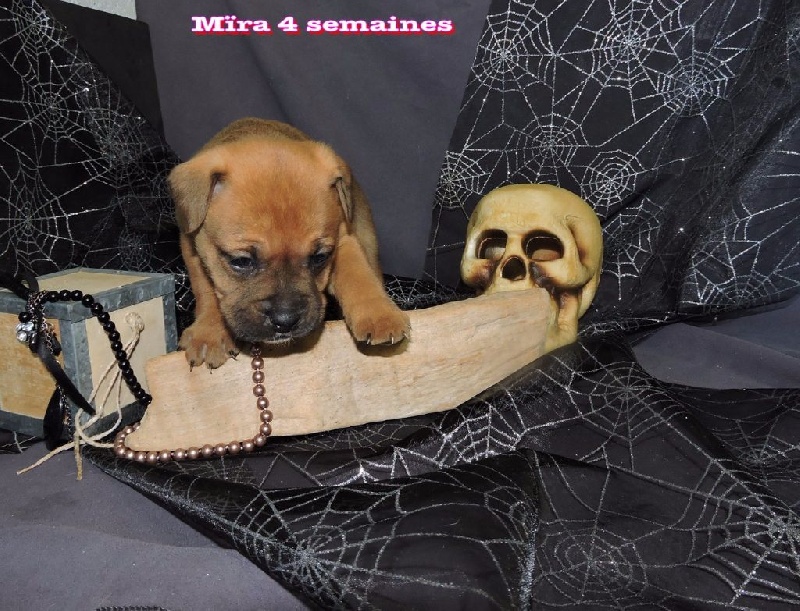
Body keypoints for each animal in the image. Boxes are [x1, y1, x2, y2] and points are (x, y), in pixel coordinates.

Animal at [169, 118, 410, 369]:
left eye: (319, 258)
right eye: (242, 261)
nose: (285, 321)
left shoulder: (344, 238)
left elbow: (358, 275)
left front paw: (379, 315)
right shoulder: (192, 246)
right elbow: (206, 290)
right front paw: (209, 333)